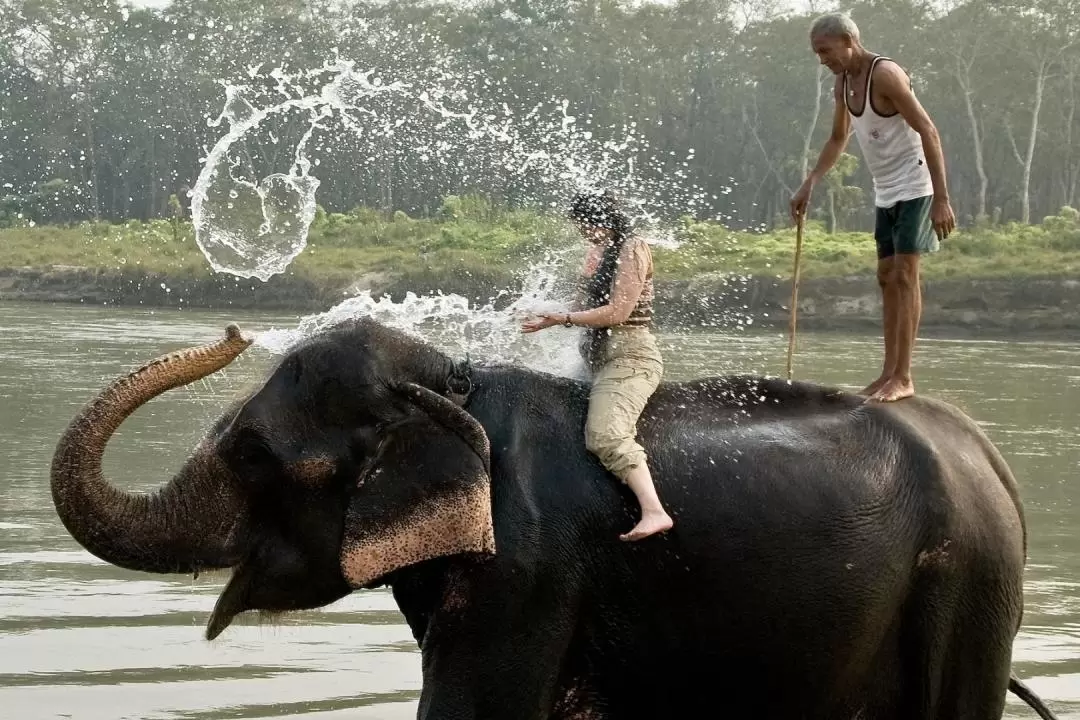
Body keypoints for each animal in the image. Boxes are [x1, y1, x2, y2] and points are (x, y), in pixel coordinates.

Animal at [48, 321, 1054, 720]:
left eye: (258, 455)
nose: (232, 333)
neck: (451, 379)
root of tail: (992, 460)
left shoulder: (527, 569)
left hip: (967, 588)